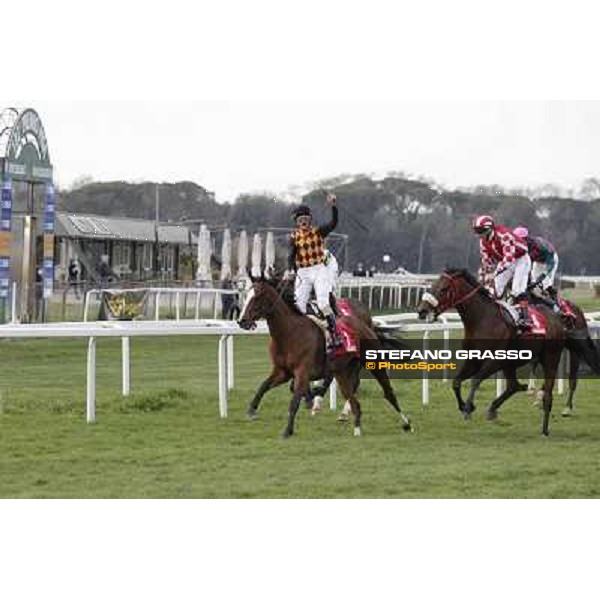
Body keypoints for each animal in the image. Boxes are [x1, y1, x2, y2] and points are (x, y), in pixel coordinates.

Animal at [238, 278, 412, 438]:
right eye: (246, 295)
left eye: (257, 297)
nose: (242, 321)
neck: (290, 334)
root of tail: (365, 325)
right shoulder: (283, 372)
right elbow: (263, 386)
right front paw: (251, 410)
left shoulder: (302, 372)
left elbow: (294, 401)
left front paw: (288, 430)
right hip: (343, 373)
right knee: (354, 398)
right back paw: (355, 428)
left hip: (373, 363)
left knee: (388, 393)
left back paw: (407, 424)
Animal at [418, 268, 568, 436]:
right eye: (432, 285)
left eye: (444, 289)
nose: (422, 310)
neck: (481, 320)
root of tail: (557, 318)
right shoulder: (473, 360)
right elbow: (456, 382)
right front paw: (464, 406)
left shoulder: (494, 361)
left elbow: (476, 380)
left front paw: (468, 408)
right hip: (510, 364)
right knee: (514, 386)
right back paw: (493, 408)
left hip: (550, 358)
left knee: (547, 394)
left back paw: (544, 429)